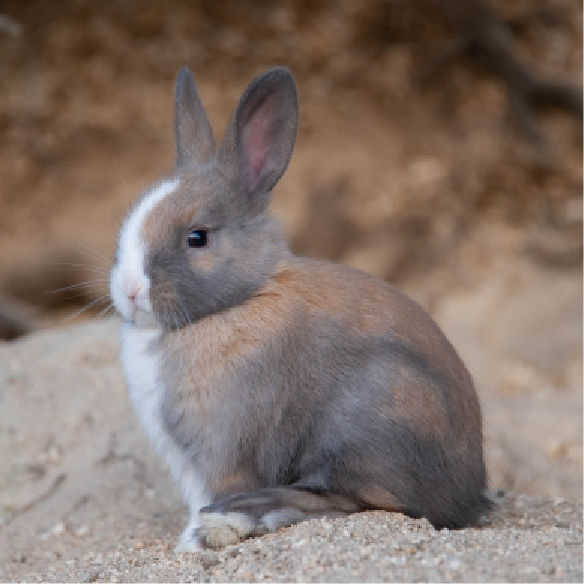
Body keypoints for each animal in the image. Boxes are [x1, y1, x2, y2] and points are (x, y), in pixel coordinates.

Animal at [110, 66, 492, 548]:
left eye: (197, 237)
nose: (129, 289)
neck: (238, 302)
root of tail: (468, 495)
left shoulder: (222, 453)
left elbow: (216, 490)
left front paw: (194, 540)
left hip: (361, 431)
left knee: (355, 502)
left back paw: (243, 516)